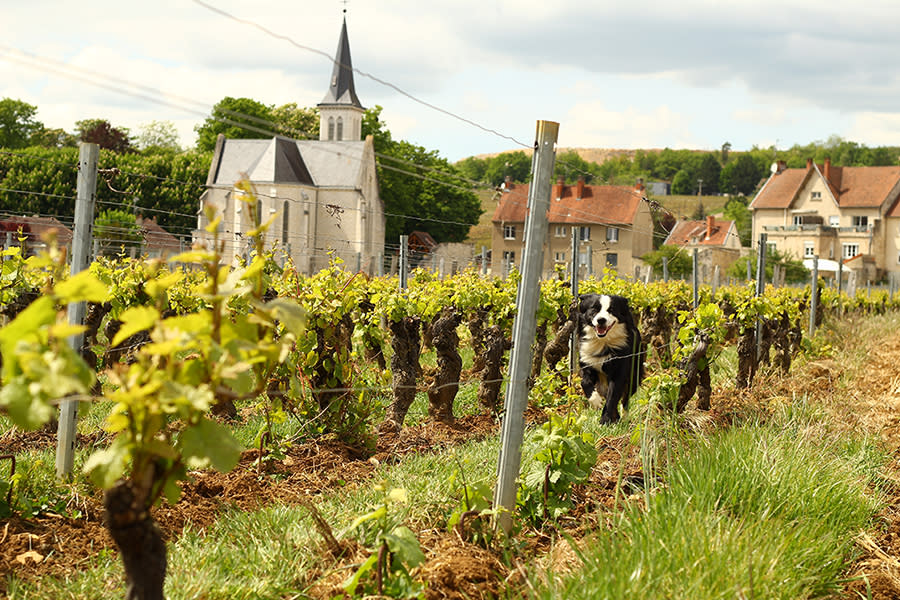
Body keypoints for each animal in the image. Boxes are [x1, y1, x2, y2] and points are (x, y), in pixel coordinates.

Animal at [580, 292, 644, 424]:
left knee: (625, 398)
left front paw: (604, 421)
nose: (601, 320)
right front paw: (596, 402)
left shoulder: (619, 371)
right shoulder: (588, 362)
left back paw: (624, 417)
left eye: (612, 310)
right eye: (594, 309)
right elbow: (584, 382)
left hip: (635, 374)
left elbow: (612, 397)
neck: (602, 342)